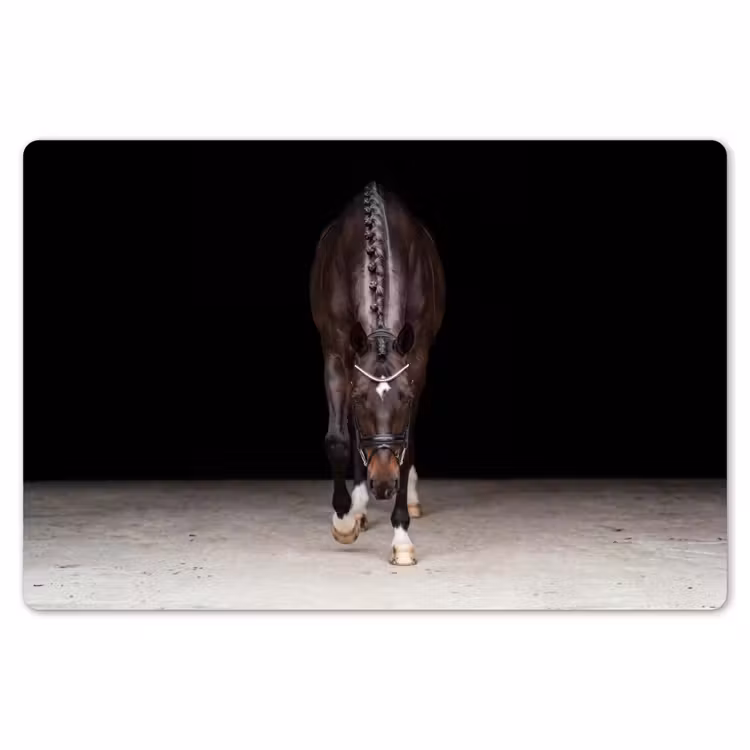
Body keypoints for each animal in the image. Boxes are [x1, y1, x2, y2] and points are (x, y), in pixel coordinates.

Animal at [310, 181, 446, 565]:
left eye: (405, 399)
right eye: (359, 399)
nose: (383, 484)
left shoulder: (417, 360)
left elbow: (406, 446)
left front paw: (401, 538)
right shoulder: (336, 355)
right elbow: (339, 439)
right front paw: (344, 520)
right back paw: (358, 507)